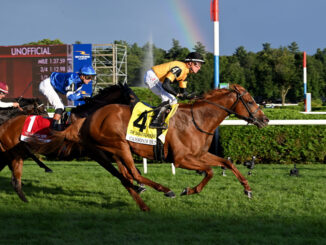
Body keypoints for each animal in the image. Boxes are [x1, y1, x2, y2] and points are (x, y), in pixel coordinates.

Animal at [37, 84, 268, 211]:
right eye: (250, 101)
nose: (265, 120)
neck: (198, 119)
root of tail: (87, 119)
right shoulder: (181, 159)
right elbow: (210, 171)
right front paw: (188, 190)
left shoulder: (200, 154)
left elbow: (227, 164)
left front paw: (247, 189)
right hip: (119, 146)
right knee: (134, 174)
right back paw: (165, 191)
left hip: (112, 151)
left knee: (126, 176)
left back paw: (143, 200)